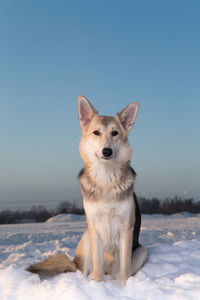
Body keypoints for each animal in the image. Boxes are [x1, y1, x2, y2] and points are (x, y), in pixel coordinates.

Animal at [27, 95, 147, 286]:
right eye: (96, 132)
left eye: (115, 133)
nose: (107, 151)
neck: (106, 178)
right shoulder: (94, 227)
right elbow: (97, 267)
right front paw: (98, 286)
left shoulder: (126, 229)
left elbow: (124, 271)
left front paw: (123, 289)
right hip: (87, 237)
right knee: (84, 270)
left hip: (142, 251)